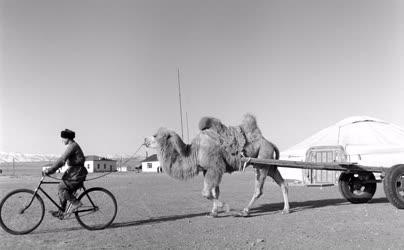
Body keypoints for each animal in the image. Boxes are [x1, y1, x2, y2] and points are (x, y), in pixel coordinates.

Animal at [145, 113, 290, 217]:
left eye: (155, 135)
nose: (145, 140)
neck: (194, 151)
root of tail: (271, 143)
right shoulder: (207, 169)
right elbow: (215, 192)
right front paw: (214, 212)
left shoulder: (214, 167)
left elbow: (206, 192)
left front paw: (225, 207)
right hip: (268, 164)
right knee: (283, 183)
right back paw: (286, 210)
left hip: (262, 162)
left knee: (259, 190)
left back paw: (245, 211)